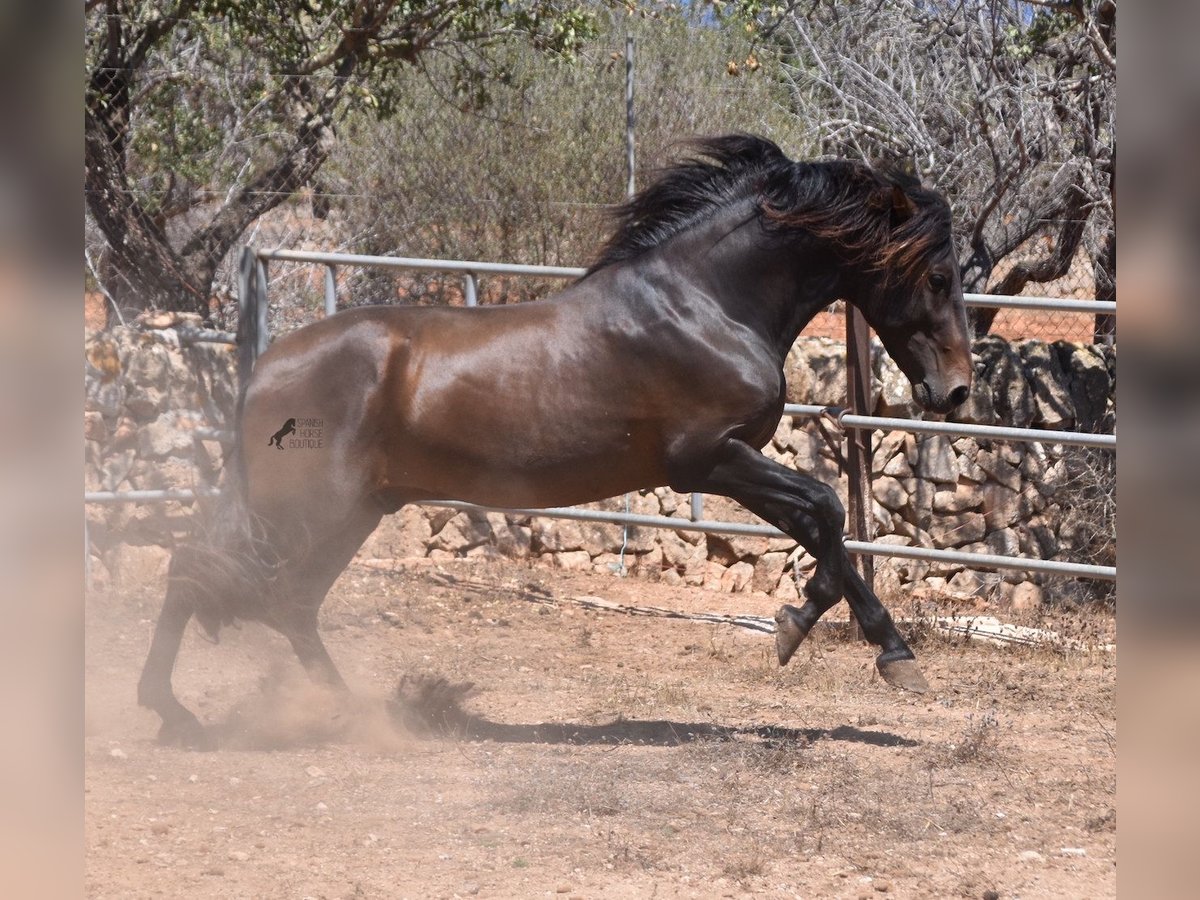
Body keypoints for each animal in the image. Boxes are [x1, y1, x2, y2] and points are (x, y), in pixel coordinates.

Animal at [136, 133, 969, 748]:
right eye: (937, 274)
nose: (956, 390)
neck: (705, 304)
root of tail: (261, 371)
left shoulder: (727, 462)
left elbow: (823, 526)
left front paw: (850, 642)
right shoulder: (709, 457)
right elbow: (826, 510)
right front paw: (843, 641)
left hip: (350, 511)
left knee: (283, 599)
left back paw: (337, 715)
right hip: (308, 507)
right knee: (213, 573)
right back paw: (198, 714)